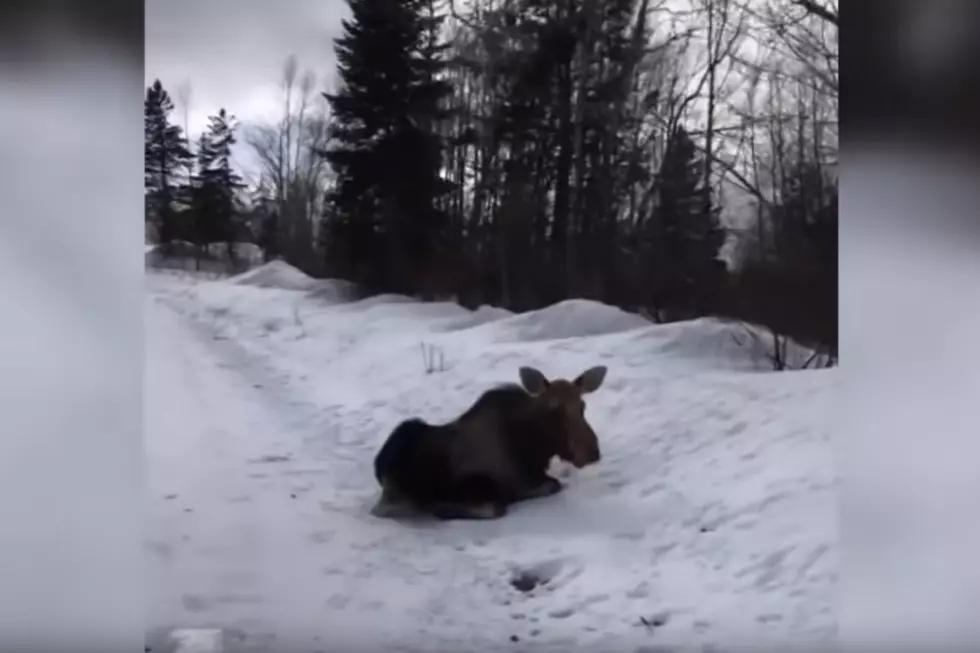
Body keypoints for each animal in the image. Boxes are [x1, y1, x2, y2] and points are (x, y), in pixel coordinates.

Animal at [372, 366, 608, 520]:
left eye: (582, 406)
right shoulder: (468, 483)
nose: (591, 452)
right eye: (553, 409)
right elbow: (495, 506)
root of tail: (378, 463)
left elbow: (551, 484)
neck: (534, 449)